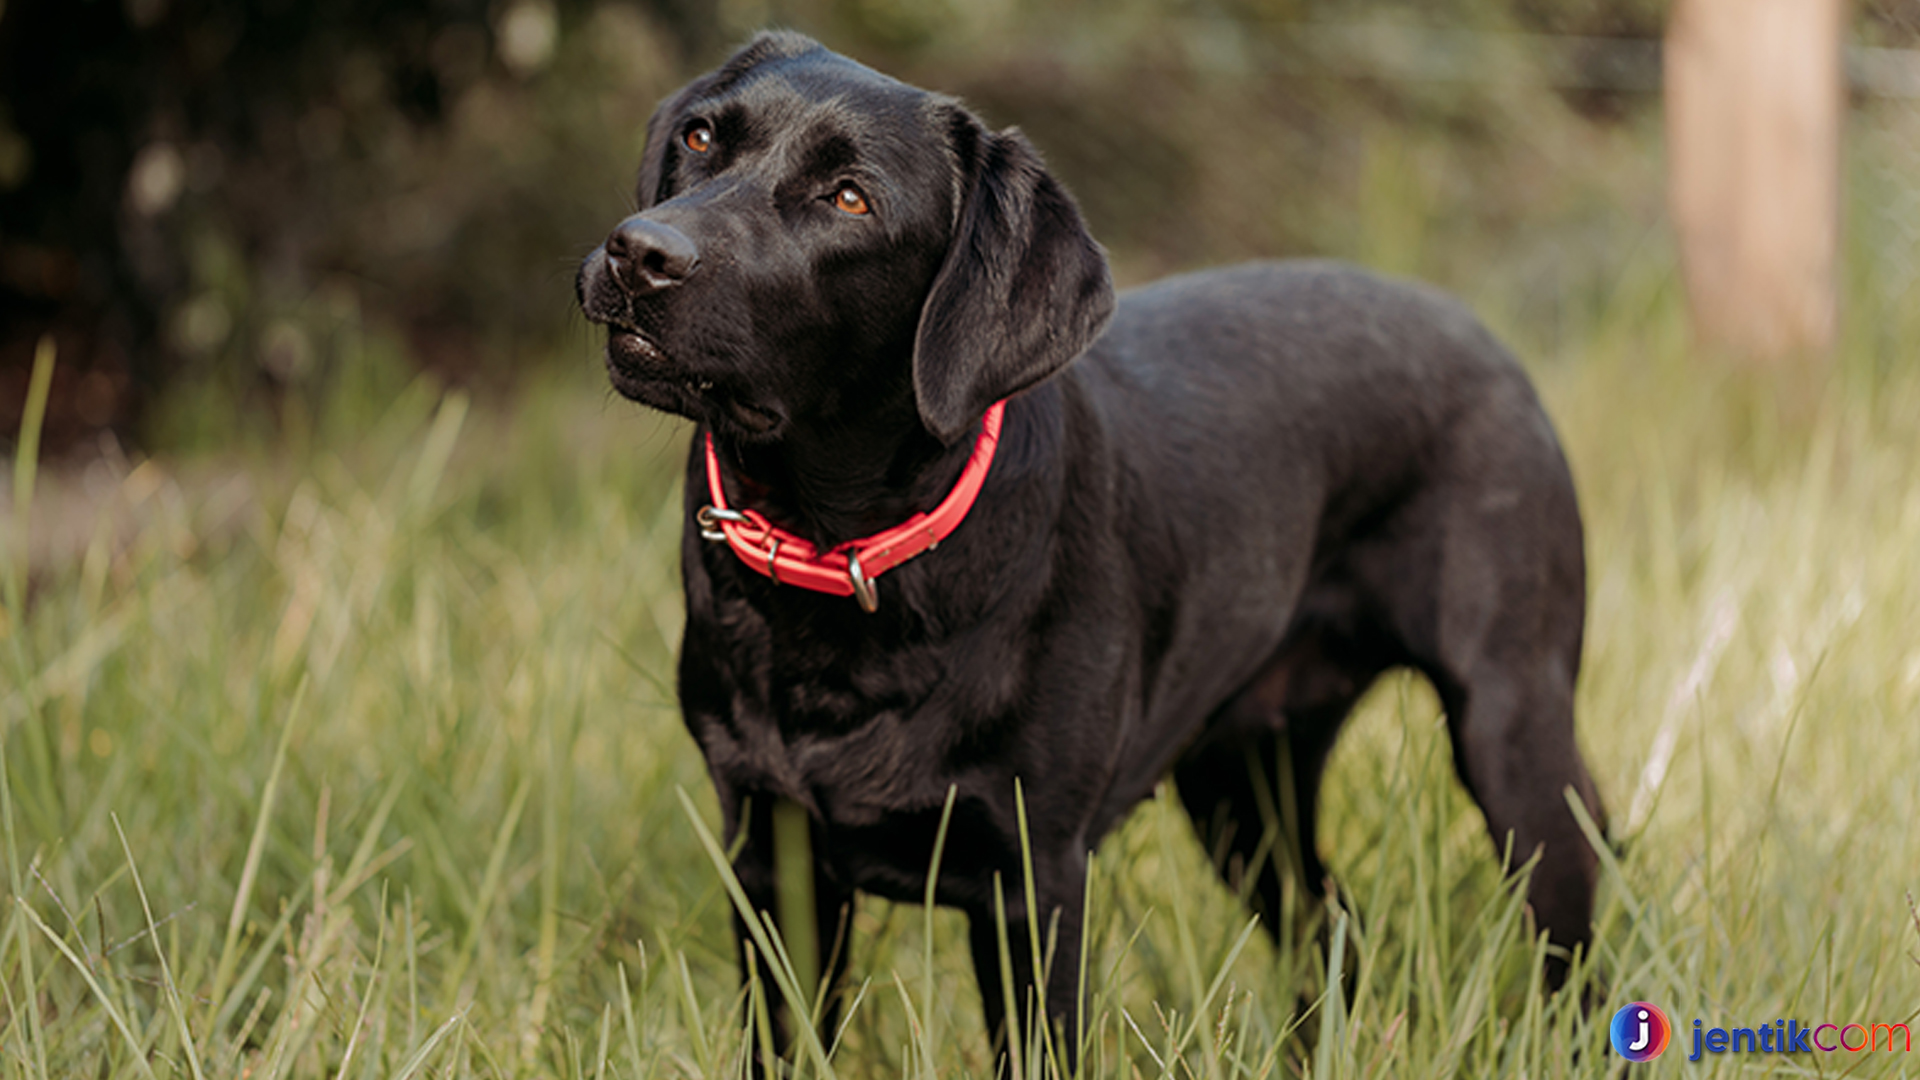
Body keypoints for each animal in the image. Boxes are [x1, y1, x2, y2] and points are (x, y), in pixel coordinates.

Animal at [568, 29, 1605, 1060]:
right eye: (702, 137)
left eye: (849, 198)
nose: (640, 251)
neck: (842, 553)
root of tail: (1486, 338)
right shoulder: (772, 859)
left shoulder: (1032, 882)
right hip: (1240, 783)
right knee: (1330, 925)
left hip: (1512, 735)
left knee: (1569, 945)